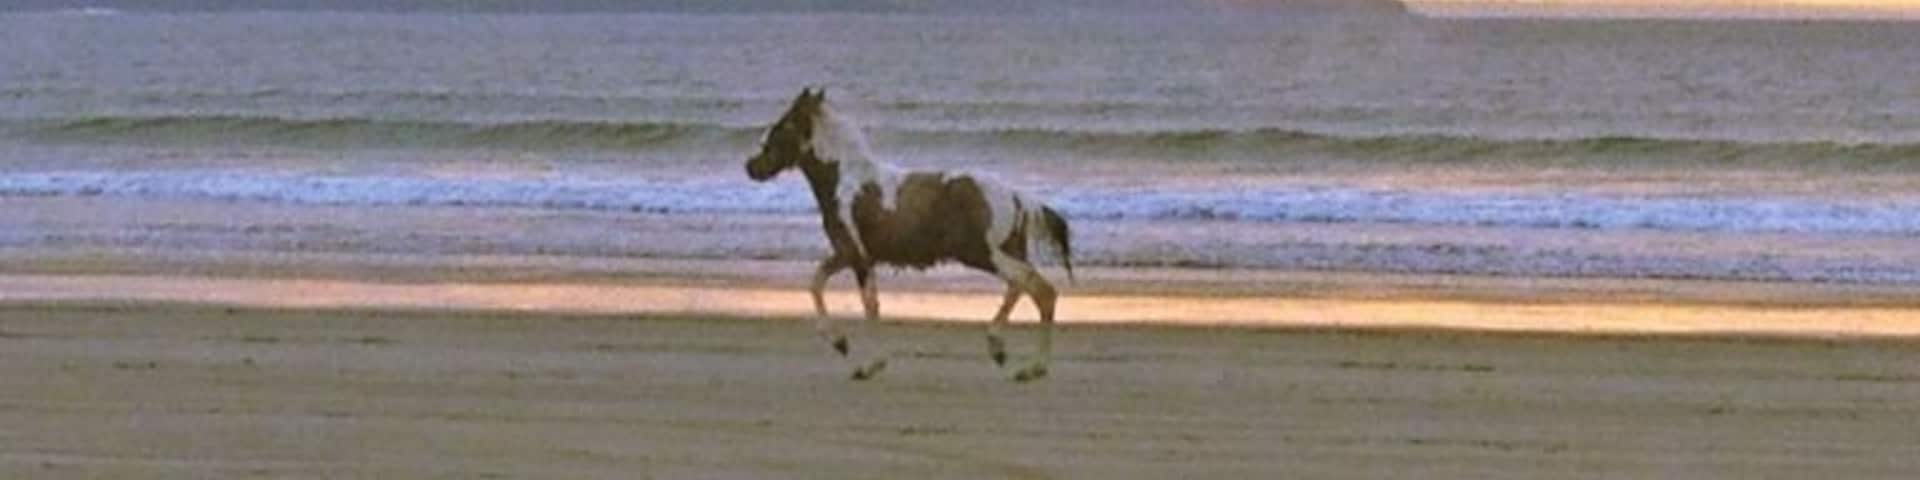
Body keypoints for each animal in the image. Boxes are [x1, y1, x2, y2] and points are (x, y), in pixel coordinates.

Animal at [745, 88, 1074, 382]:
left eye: (783, 124)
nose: (751, 166)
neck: (845, 182)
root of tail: (1016, 196)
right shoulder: (847, 253)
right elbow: (816, 284)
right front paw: (840, 343)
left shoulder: (857, 257)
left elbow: (869, 305)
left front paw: (869, 364)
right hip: (1002, 252)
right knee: (1020, 287)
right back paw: (1001, 350)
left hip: (984, 254)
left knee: (1039, 290)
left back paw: (1032, 368)